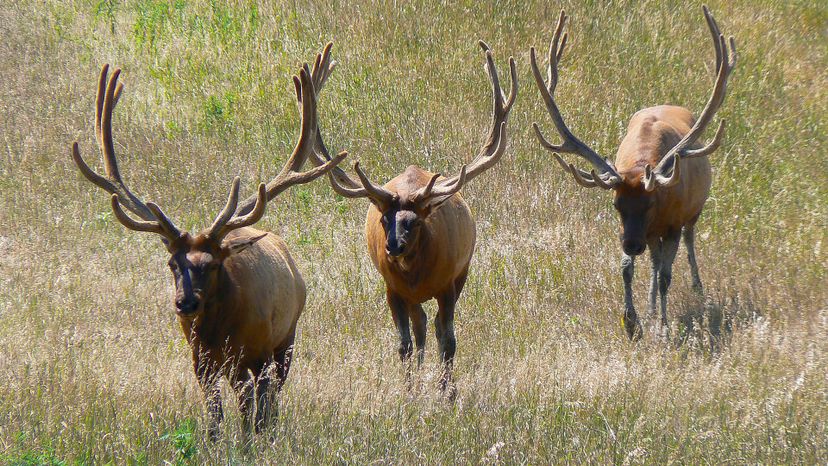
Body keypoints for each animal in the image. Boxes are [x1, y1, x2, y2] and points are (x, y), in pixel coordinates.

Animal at [69, 62, 344, 436]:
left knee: (270, 399)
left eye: (212, 265)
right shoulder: (201, 362)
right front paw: (218, 441)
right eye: (172, 263)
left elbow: (255, 413)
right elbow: (215, 419)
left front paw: (252, 442)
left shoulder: (256, 352)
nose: (185, 303)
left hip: (286, 338)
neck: (218, 330)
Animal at [300, 41, 516, 392]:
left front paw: (447, 391)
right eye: (383, 220)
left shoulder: (448, 284)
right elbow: (403, 343)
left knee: (435, 328)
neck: (416, 273)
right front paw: (408, 391)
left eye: (414, 222)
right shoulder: (393, 289)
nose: (393, 247)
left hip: (463, 272)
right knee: (420, 326)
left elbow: (449, 339)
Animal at [532, 6, 740, 338]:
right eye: (616, 205)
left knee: (687, 242)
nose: (631, 244)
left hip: (693, 212)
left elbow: (667, 275)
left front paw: (663, 328)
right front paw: (632, 321)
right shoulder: (634, 228)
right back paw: (652, 306)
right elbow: (627, 269)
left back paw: (695, 288)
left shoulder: (671, 224)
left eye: (650, 202)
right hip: (653, 235)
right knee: (654, 259)